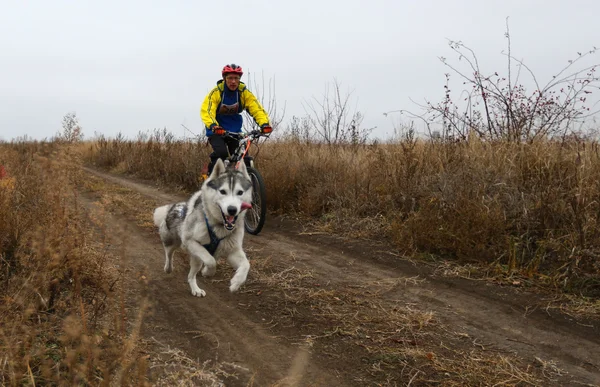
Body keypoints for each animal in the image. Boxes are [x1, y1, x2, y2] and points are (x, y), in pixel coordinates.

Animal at [152, 159, 253, 298]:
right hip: (174, 242)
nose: (232, 210)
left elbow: (246, 265)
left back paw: (196, 289)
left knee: (191, 276)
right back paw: (168, 267)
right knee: (169, 253)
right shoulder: (191, 242)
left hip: (196, 258)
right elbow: (211, 261)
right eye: (223, 191)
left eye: (240, 192)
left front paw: (236, 283)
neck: (218, 227)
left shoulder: (232, 250)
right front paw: (207, 272)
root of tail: (176, 206)